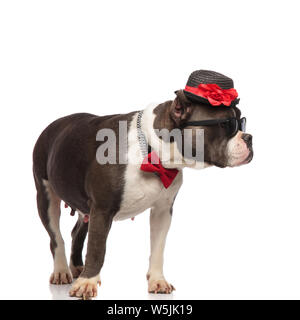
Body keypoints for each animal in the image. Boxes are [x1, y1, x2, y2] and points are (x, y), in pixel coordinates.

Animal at [32, 71, 253, 298]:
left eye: (242, 122)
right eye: (227, 125)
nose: (249, 137)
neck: (151, 151)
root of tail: (53, 124)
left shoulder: (162, 211)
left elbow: (158, 247)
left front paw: (157, 280)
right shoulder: (102, 209)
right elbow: (97, 248)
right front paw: (87, 283)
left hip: (85, 207)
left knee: (77, 231)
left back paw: (77, 267)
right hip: (46, 196)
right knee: (56, 236)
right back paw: (61, 270)